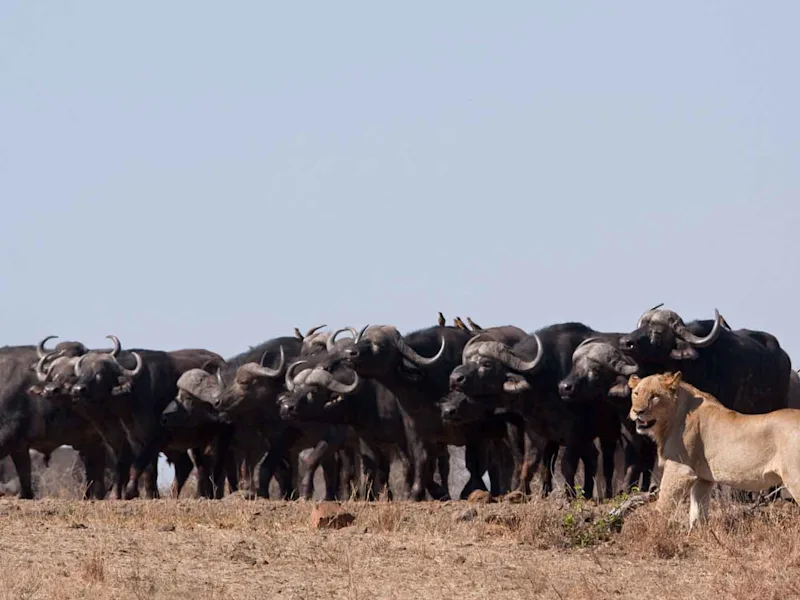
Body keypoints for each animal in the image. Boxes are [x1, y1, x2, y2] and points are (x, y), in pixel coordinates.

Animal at [627, 371, 800, 529]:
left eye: (655, 396)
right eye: (636, 393)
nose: (637, 411)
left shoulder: (680, 470)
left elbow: (662, 506)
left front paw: (655, 532)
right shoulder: (703, 479)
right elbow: (697, 513)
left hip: (794, 478)